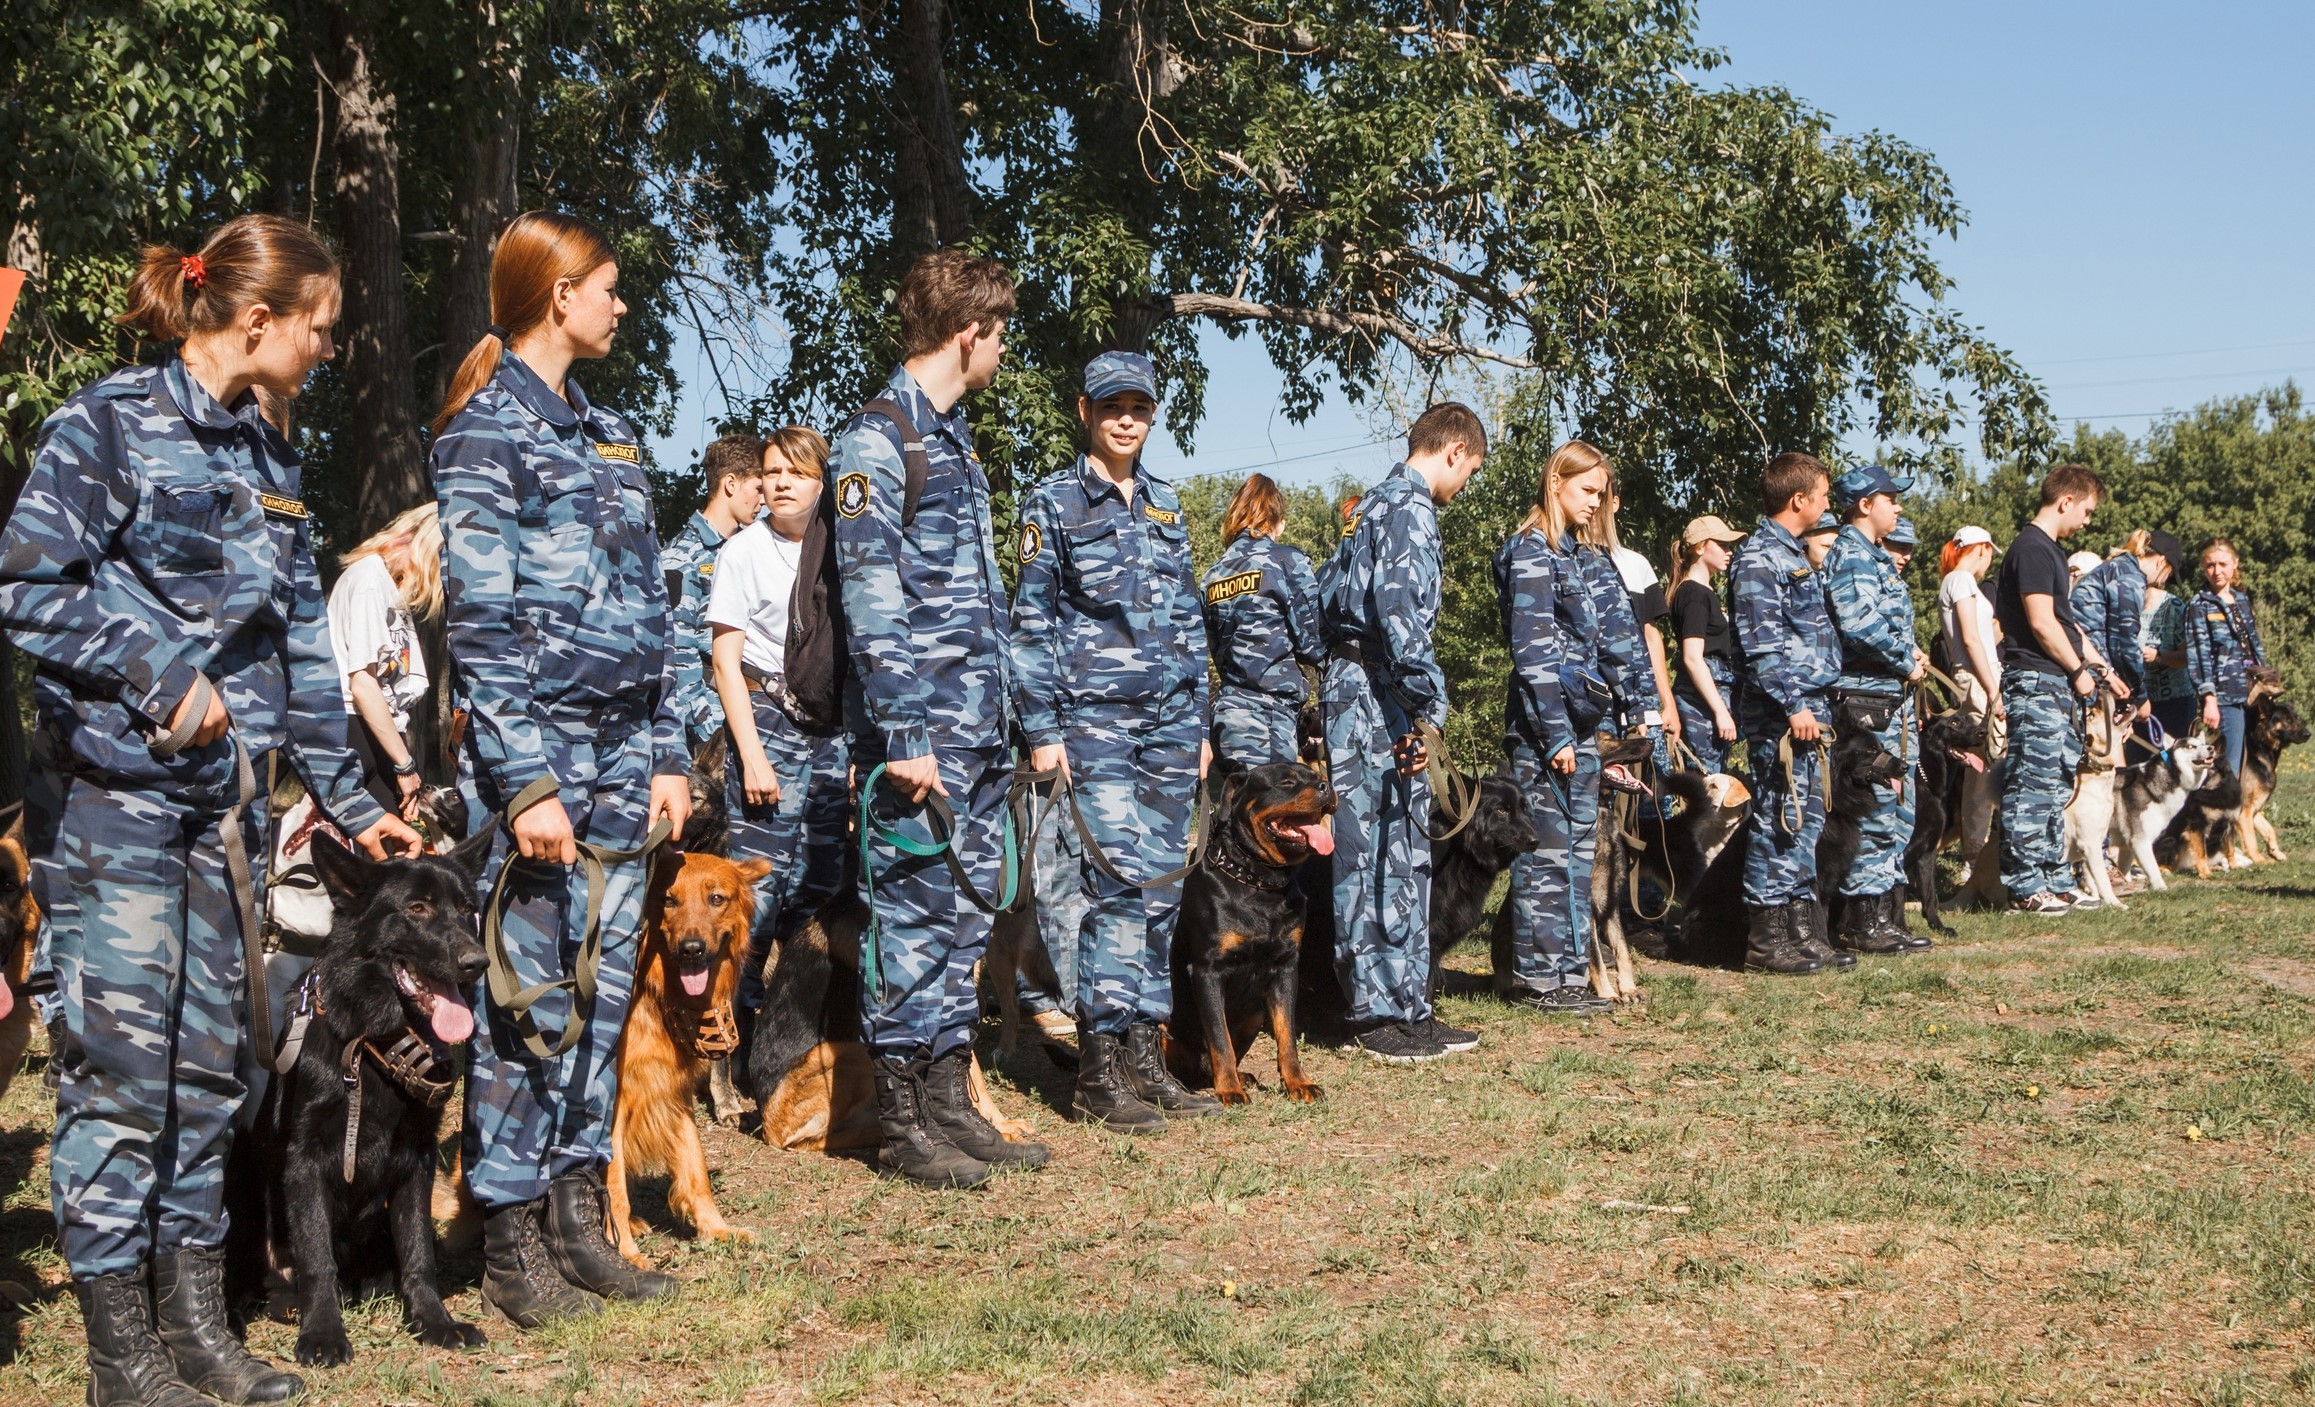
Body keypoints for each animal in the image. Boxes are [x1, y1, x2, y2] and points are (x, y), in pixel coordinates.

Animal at [229, 828, 493, 1369]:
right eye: (417, 908)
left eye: (467, 909)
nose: (477, 963)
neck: (373, 1042)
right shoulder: (304, 1161)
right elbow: (315, 1256)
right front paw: (323, 1332)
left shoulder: (416, 1159)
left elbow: (418, 1251)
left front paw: (434, 1321)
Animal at [1176, 763, 1342, 1106]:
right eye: (1287, 782)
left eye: (1317, 777)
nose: (1327, 785)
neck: (1259, 883)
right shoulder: (1207, 970)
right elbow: (1219, 1037)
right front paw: (1229, 1089)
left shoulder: (1285, 967)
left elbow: (1287, 1035)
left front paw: (1298, 1083)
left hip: (1253, 1013)